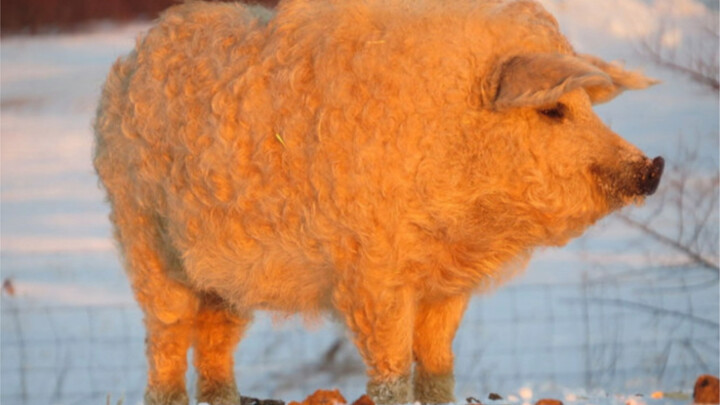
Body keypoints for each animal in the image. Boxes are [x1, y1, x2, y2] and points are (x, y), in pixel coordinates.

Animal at [92, 0, 664, 404]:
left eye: (588, 105)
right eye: (553, 111)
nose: (653, 166)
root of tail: (131, 61)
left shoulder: (446, 286)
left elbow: (437, 367)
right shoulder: (372, 274)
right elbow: (392, 374)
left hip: (224, 279)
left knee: (215, 345)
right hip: (142, 233)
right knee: (166, 340)